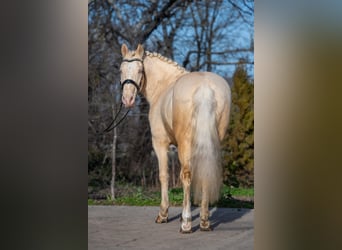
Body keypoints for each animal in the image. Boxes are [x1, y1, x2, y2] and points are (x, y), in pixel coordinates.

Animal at [119, 43, 231, 232]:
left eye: (140, 70)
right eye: (121, 69)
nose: (127, 99)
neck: (164, 85)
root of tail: (205, 87)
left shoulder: (160, 143)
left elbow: (164, 175)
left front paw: (163, 214)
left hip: (186, 142)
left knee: (187, 175)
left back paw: (186, 223)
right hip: (211, 142)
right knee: (204, 173)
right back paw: (204, 221)